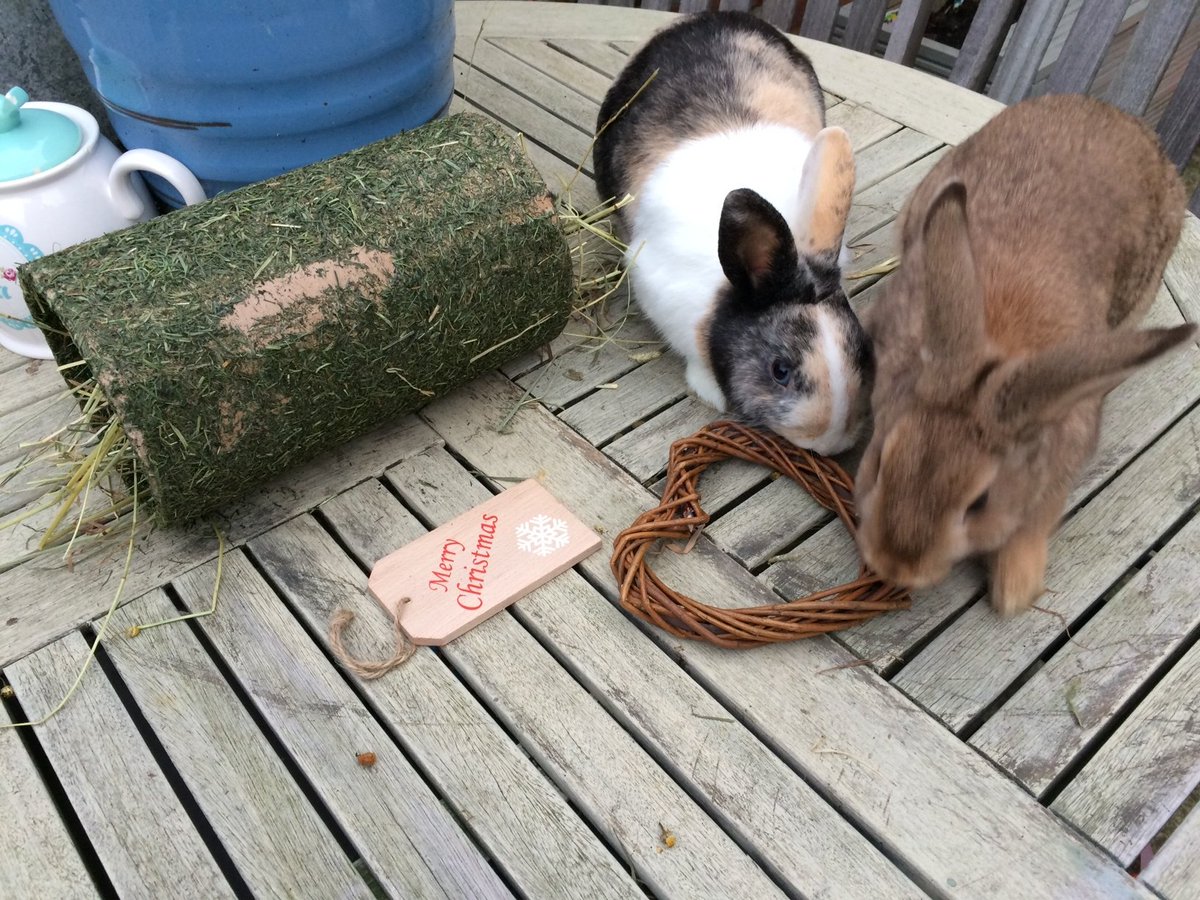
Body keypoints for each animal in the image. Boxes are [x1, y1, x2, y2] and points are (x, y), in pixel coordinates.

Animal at [854, 93, 1196, 617]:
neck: (1002, 344)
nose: (895, 567)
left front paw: (1016, 588)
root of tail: (1122, 117)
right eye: (880, 464)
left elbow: (1038, 516)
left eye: (980, 503)